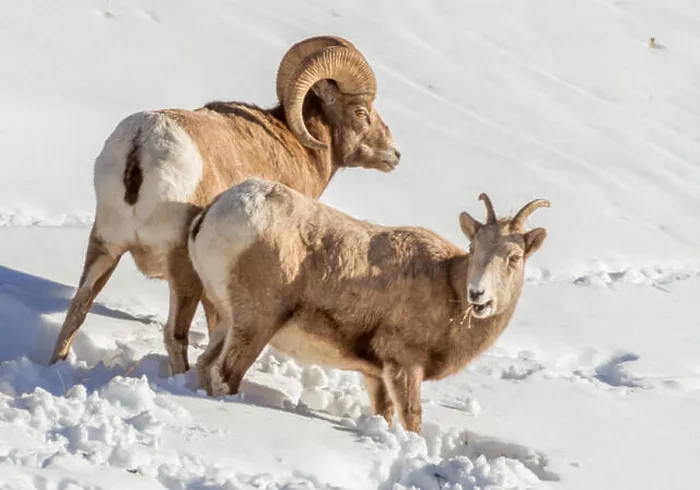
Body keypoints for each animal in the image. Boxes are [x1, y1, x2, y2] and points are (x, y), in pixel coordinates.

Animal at [49, 35, 401, 375]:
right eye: (361, 112)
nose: (394, 155)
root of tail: (141, 143)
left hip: (105, 246)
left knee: (78, 309)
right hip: (181, 266)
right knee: (175, 334)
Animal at [189, 177, 550, 433]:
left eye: (514, 257)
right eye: (474, 248)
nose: (478, 295)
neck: (448, 288)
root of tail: (218, 209)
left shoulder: (376, 373)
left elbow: (385, 415)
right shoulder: (404, 366)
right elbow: (412, 421)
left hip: (228, 320)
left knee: (205, 365)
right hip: (256, 324)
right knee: (225, 375)